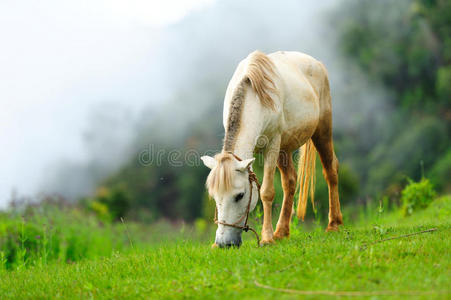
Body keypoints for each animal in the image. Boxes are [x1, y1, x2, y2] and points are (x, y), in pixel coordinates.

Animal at [200, 50, 342, 247]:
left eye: (240, 195)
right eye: (214, 197)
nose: (223, 243)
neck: (256, 97)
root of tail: (316, 63)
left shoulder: (273, 145)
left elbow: (267, 192)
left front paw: (266, 238)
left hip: (322, 131)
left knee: (330, 171)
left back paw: (334, 224)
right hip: (284, 149)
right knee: (290, 181)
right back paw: (281, 231)